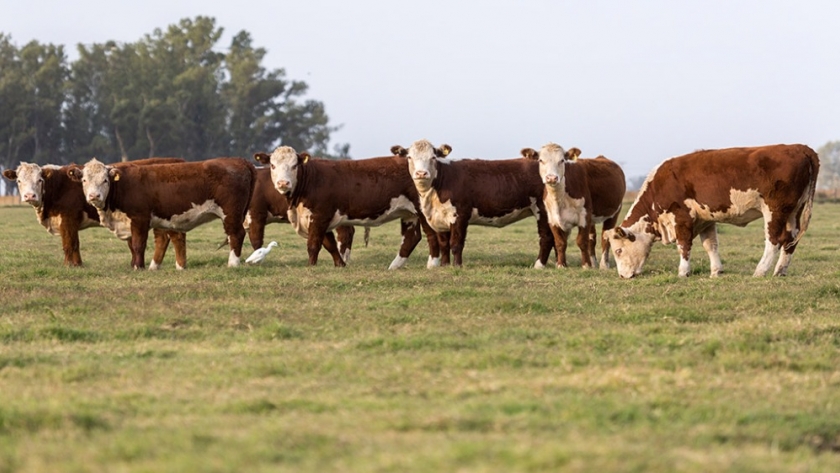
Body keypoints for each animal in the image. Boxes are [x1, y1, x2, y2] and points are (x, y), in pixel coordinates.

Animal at [2, 159, 187, 268]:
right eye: (19, 181)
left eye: (39, 180)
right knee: (163, 238)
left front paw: (69, 266)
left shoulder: (68, 218)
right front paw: (78, 264)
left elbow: (69, 244)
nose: (29, 196)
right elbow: (74, 244)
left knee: (174, 237)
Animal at [70, 157, 256, 270]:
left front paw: (138, 267)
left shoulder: (139, 218)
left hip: (230, 213)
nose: (94, 196)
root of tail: (239, 161)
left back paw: (233, 264)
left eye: (105, 180)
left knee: (236, 234)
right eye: (84, 180)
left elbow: (138, 245)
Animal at [253, 146, 442, 268]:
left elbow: (314, 244)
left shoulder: (320, 215)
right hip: (409, 213)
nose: (283, 183)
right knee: (411, 237)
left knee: (431, 235)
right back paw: (394, 266)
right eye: (272, 165)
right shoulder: (322, 219)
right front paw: (340, 264)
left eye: (294, 165)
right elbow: (330, 244)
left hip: (423, 211)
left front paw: (310, 266)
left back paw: (432, 264)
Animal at [390, 138, 556, 268]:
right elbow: (444, 244)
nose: (421, 173)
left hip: (542, 210)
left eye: (433, 157)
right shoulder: (439, 218)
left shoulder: (460, 215)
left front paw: (457, 266)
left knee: (546, 238)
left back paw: (539, 266)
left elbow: (456, 243)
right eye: (409, 157)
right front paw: (444, 266)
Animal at [608, 144, 816, 276]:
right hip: (793, 211)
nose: (622, 276)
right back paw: (780, 271)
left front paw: (683, 272)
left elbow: (683, 245)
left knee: (774, 240)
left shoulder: (681, 216)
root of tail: (799, 147)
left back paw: (760, 271)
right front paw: (716, 271)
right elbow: (711, 245)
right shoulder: (705, 219)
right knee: (790, 240)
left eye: (618, 251)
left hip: (775, 210)